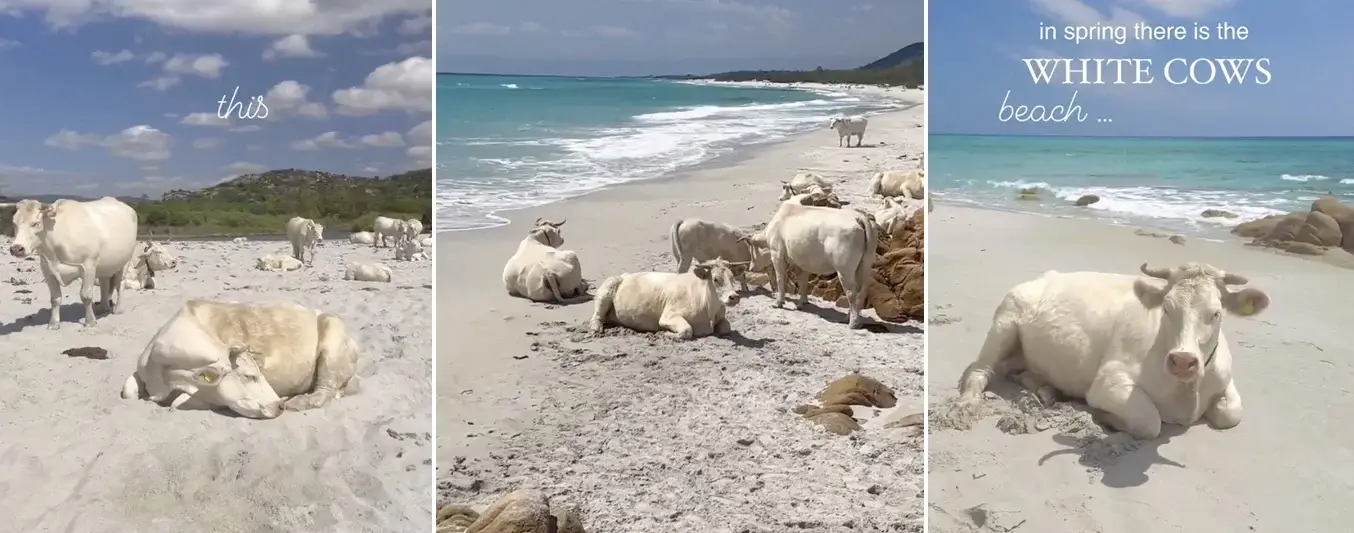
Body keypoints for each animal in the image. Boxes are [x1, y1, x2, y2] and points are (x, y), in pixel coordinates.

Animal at [3, 197, 139, 329]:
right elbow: (55, 298)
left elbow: (86, 295)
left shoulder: (89, 265)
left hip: (126, 259)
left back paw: (118, 309)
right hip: (105, 265)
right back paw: (102, 308)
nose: (16, 248)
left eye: (35, 223)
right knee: (104, 283)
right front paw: (53, 323)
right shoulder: (47, 269)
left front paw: (90, 321)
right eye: (14, 223)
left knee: (120, 283)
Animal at [120, 299, 360, 419]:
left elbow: (177, 404)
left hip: (333, 342)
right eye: (249, 376)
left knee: (324, 391)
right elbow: (129, 391)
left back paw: (298, 401)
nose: (279, 406)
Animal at [588, 258, 748, 340]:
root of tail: (625, 275)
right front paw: (665, 333)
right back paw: (596, 329)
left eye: (732, 278)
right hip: (608, 286)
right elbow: (687, 330)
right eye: (715, 279)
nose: (734, 297)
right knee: (597, 316)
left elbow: (726, 328)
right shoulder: (668, 316)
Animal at [741, 195, 878, 329]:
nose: (751, 267)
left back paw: (853, 323)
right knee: (862, 291)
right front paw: (802, 302)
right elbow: (803, 281)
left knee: (851, 293)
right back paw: (849, 317)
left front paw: (778, 302)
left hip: (844, 270)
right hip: (865, 265)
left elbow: (780, 279)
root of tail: (858, 217)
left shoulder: (777, 255)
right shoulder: (802, 262)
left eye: (751, 250)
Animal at [949, 262, 1270, 440]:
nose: (1182, 361)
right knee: (980, 370)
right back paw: (965, 406)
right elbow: (1149, 421)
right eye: (1167, 309)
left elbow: (1232, 413)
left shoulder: (1224, 377)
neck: (1186, 393)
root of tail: (1043, 277)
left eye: (1216, 313)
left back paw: (1046, 390)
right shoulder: (1108, 382)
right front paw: (1104, 417)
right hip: (1004, 321)